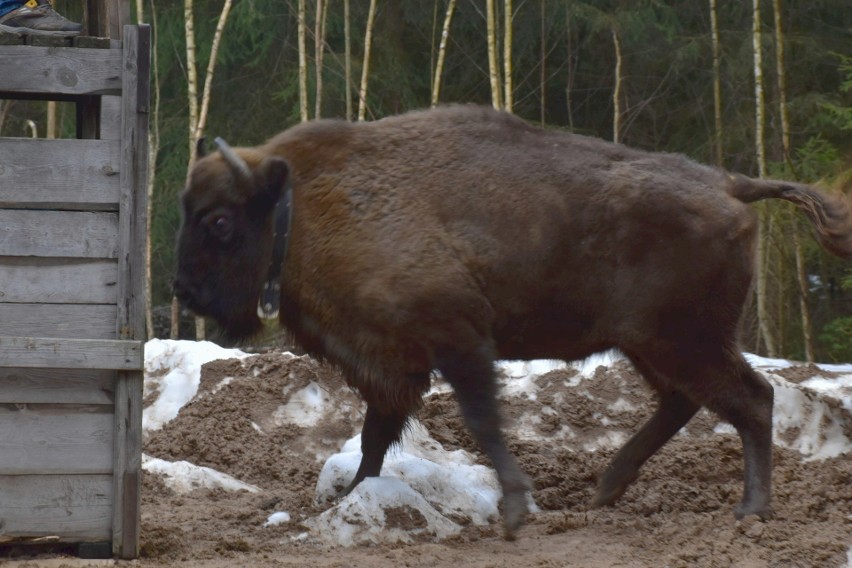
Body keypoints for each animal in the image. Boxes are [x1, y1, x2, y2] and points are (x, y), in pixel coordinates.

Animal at [173, 105, 852, 536]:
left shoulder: (459, 340)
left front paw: (516, 510)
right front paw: (352, 497)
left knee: (751, 398)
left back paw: (750, 511)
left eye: (219, 220)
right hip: (651, 344)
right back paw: (608, 489)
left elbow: (480, 419)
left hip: (684, 341)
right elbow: (373, 437)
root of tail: (730, 185)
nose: (182, 288)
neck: (303, 207)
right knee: (688, 401)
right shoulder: (393, 366)